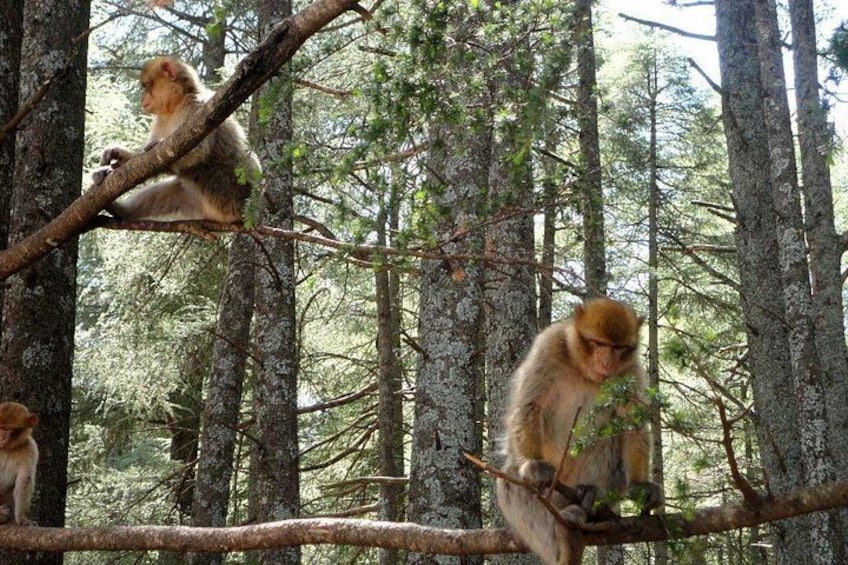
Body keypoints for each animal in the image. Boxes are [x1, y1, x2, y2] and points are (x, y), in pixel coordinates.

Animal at [92, 56, 260, 223]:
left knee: (201, 170)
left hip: (230, 193)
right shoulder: (160, 121)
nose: (142, 98)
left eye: (147, 86)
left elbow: (196, 151)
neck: (175, 106)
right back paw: (122, 211)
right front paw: (118, 156)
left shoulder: (196, 106)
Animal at [496, 297, 663, 565]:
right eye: (599, 344)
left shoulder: (629, 370)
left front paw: (640, 485)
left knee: (607, 439)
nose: (606, 362)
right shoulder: (549, 346)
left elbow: (631, 423)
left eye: (618, 348)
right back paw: (566, 542)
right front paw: (534, 465)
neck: (584, 371)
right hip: (553, 496)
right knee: (512, 480)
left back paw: (591, 497)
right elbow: (531, 406)